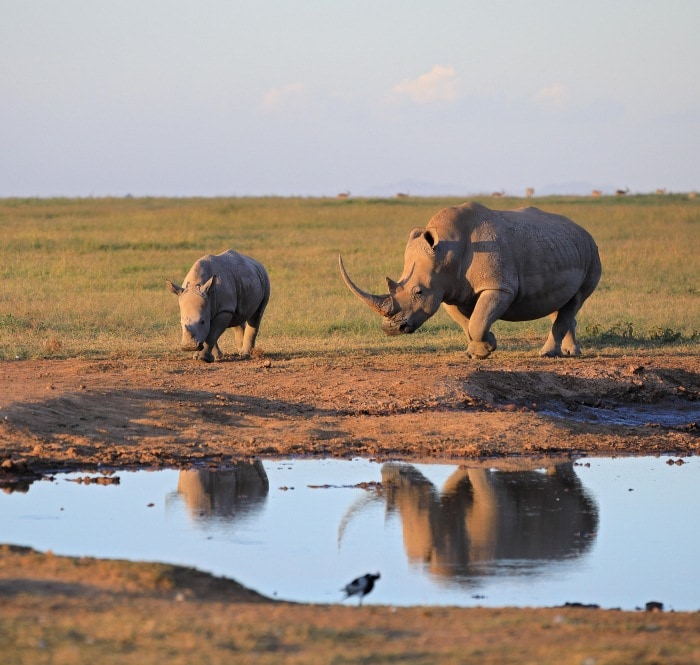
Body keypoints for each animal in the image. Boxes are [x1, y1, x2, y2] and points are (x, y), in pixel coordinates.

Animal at [340, 202, 601, 359]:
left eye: (418, 292)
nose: (391, 329)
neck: (447, 251)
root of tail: (583, 230)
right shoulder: (448, 291)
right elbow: (469, 323)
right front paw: (478, 350)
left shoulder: (498, 286)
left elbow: (478, 320)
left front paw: (485, 349)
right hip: (562, 247)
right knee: (560, 303)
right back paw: (571, 353)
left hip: (591, 252)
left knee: (575, 299)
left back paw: (547, 354)